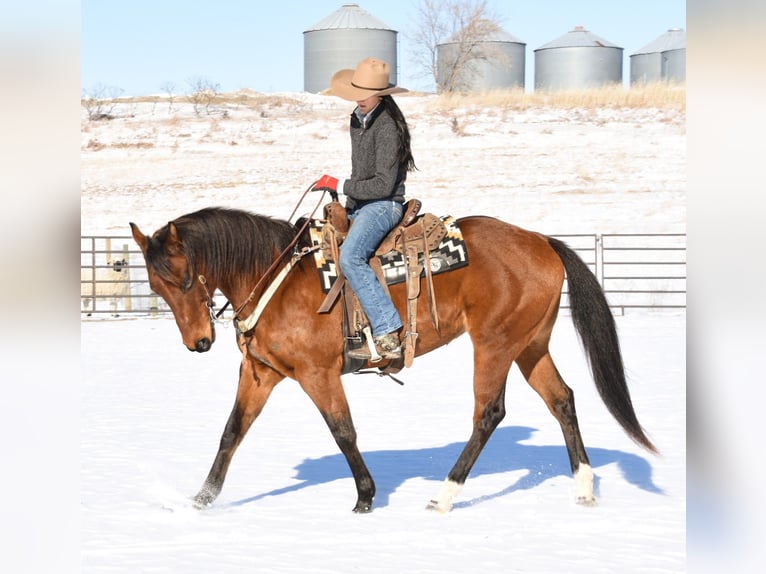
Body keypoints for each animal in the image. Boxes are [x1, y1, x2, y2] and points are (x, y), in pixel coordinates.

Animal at [129, 204, 657, 513]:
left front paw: (365, 496)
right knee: (562, 399)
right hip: (530, 345)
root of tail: (542, 240)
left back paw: (444, 494)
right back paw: (584, 487)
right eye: (155, 285)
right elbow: (231, 432)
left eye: (183, 277)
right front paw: (201, 499)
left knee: (489, 412)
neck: (275, 278)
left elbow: (343, 431)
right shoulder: (260, 373)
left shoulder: (318, 374)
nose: (199, 342)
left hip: (494, 344)